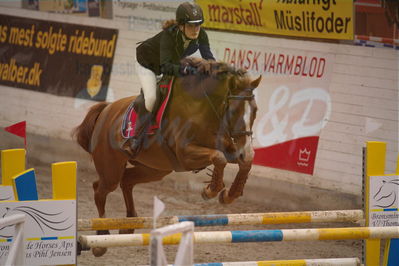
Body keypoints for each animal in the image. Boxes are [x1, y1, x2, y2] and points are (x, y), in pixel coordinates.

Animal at [74, 58, 262, 258]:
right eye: (234, 111)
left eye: (255, 110)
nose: (246, 150)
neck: (204, 109)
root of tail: (106, 109)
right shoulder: (185, 154)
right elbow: (219, 158)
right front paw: (210, 191)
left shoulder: (230, 148)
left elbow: (245, 163)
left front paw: (229, 195)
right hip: (111, 168)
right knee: (99, 190)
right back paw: (101, 241)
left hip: (154, 169)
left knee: (126, 181)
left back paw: (128, 226)